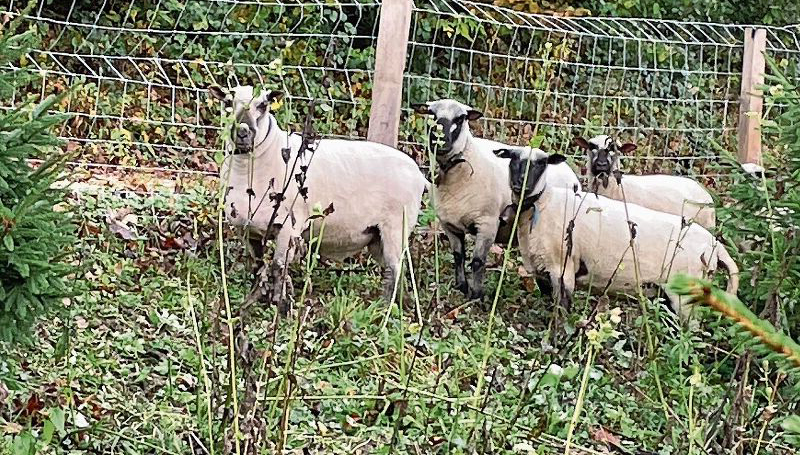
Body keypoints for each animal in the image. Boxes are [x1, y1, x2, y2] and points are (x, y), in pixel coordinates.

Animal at [209, 84, 428, 314]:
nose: (243, 132)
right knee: (395, 271)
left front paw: (279, 307)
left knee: (394, 271)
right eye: (227, 102)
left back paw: (384, 310)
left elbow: (278, 268)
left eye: (263, 105)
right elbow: (258, 265)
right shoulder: (246, 229)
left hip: (396, 227)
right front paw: (256, 299)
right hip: (377, 237)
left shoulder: (288, 228)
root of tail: (419, 175)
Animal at [412, 99, 580, 300]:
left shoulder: (487, 223)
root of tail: (572, 175)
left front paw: (476, 296)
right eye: (431, 114)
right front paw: (461, 287)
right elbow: (458, 256)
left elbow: (477, 261)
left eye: (460, 119)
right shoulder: (449, 225)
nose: (440, 142)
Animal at [496, 144, 740, 318]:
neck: (543, 204)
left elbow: (561, 312)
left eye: (542, 163)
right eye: (512, 159)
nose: (521, 184)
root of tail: (715, 246)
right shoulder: (542, 270)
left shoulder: (562, 270)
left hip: (686, 297)